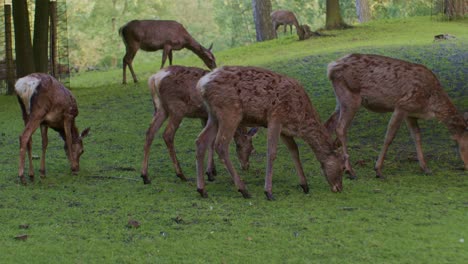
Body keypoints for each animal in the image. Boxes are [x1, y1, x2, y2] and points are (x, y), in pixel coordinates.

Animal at [196, 66, 346, 200]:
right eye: (343, 167)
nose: (339, 188)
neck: (299, 119)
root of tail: (202, 84)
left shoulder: (285, 129)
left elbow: (294, 150)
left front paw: (305, 185)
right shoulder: (275, 118)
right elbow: (272, 152)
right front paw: (268, 192)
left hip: (213, 115)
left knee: (200, 141)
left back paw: (202, 190)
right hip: (230, 112)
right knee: (220, 145)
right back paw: (243, 189)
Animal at [326, 52, 468, 178]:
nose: (466, 167)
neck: (430, 105)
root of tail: (331, 67)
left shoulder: (411, 114)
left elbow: (417, 136)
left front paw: (425, 168)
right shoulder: (402, 105)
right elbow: (390, 136)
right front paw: (378, 170)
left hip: (340, 100)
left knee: (329, 124)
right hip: (351, 97)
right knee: (340, 128)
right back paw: (350, 170)